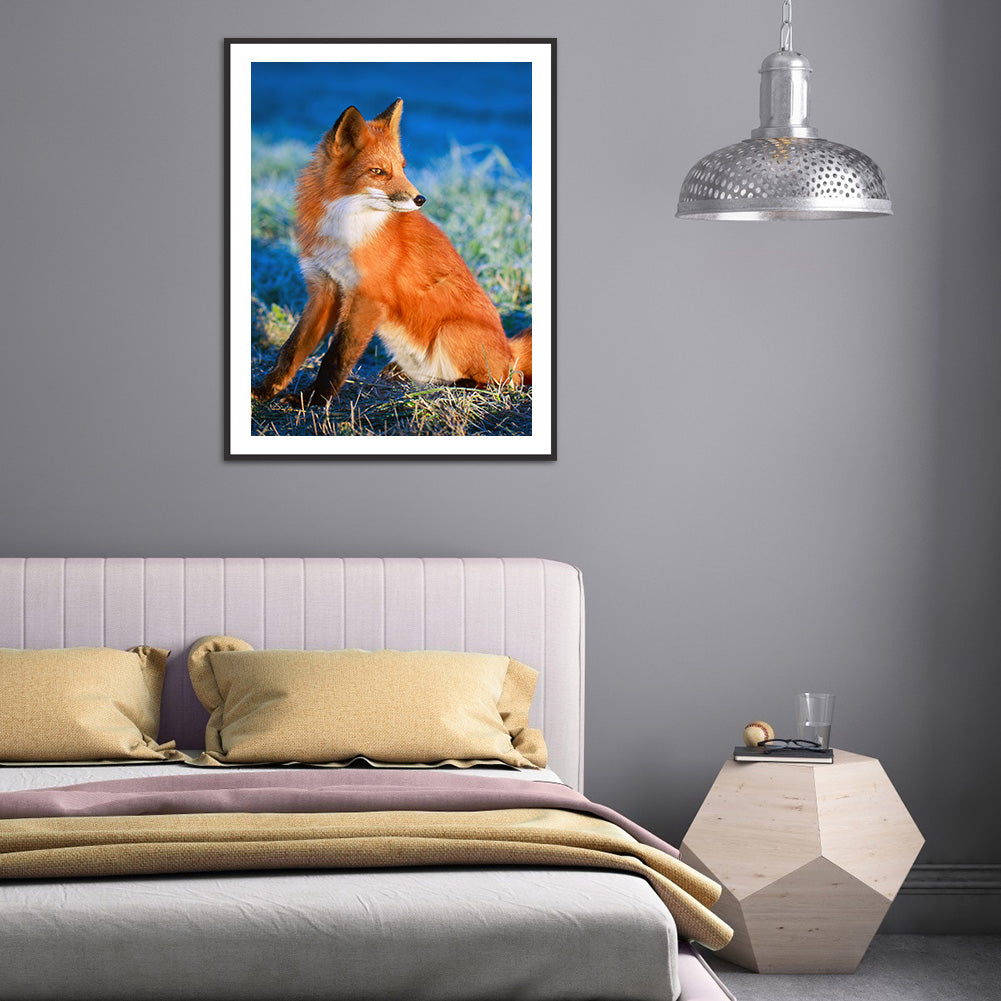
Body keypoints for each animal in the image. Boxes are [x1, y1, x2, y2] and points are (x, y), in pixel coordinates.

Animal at [251, 98, 532, 406]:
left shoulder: (367, 297)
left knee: (504, 382)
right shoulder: (324, 289)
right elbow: (291, 349)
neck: (345, 228)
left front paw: (314, 400)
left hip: (451, 332)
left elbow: (336, 357)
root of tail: (510, 350)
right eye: (378, 171)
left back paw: (459, 386)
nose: (420, 199)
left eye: (402, 167)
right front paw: (266, 390)